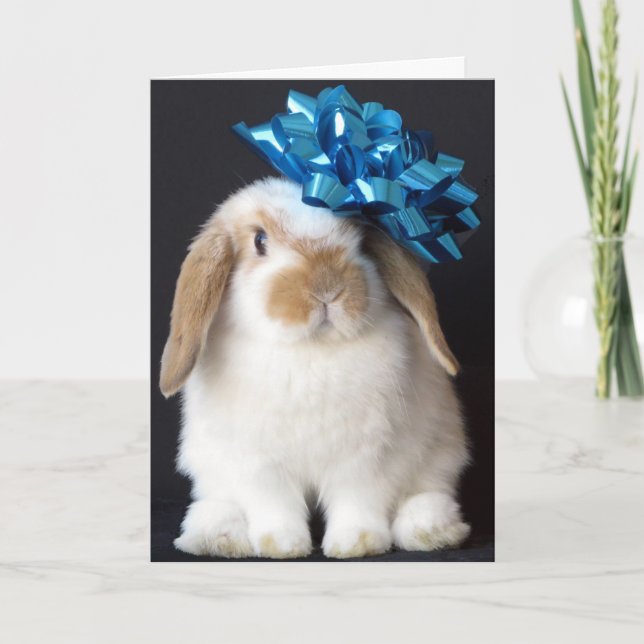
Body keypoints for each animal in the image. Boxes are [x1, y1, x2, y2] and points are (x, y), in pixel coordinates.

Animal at [160, 177, 470, 559]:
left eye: (360, 240)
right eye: (259, 241)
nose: (328, 288)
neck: (310, 350)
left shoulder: (365, 460)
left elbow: (358, 502)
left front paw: (357, 543)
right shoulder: (262, 464)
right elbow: (275, 506)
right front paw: (281, 545)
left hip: (440, 455)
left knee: (427, 494)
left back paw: (431, 530)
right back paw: (217, 537)